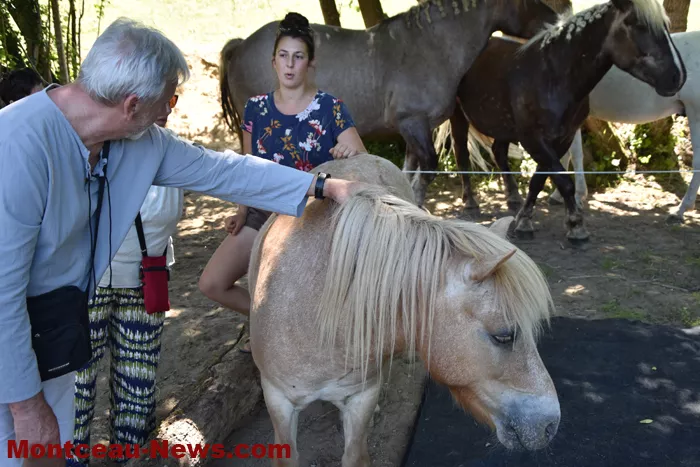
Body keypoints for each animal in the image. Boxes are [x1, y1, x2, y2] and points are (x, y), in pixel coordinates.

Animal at [218, 0, 559, 208]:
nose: (555, 20)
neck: (430, 47)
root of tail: (241, 44)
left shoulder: (412, 129)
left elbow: (407, 171)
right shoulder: (413, 123)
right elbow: (428, 169)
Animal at [547, 30, 700, 224]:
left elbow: (573, 154)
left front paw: (577, 197)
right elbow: (568, 153)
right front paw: (558, 195)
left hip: (695, 111)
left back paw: (679, 211)